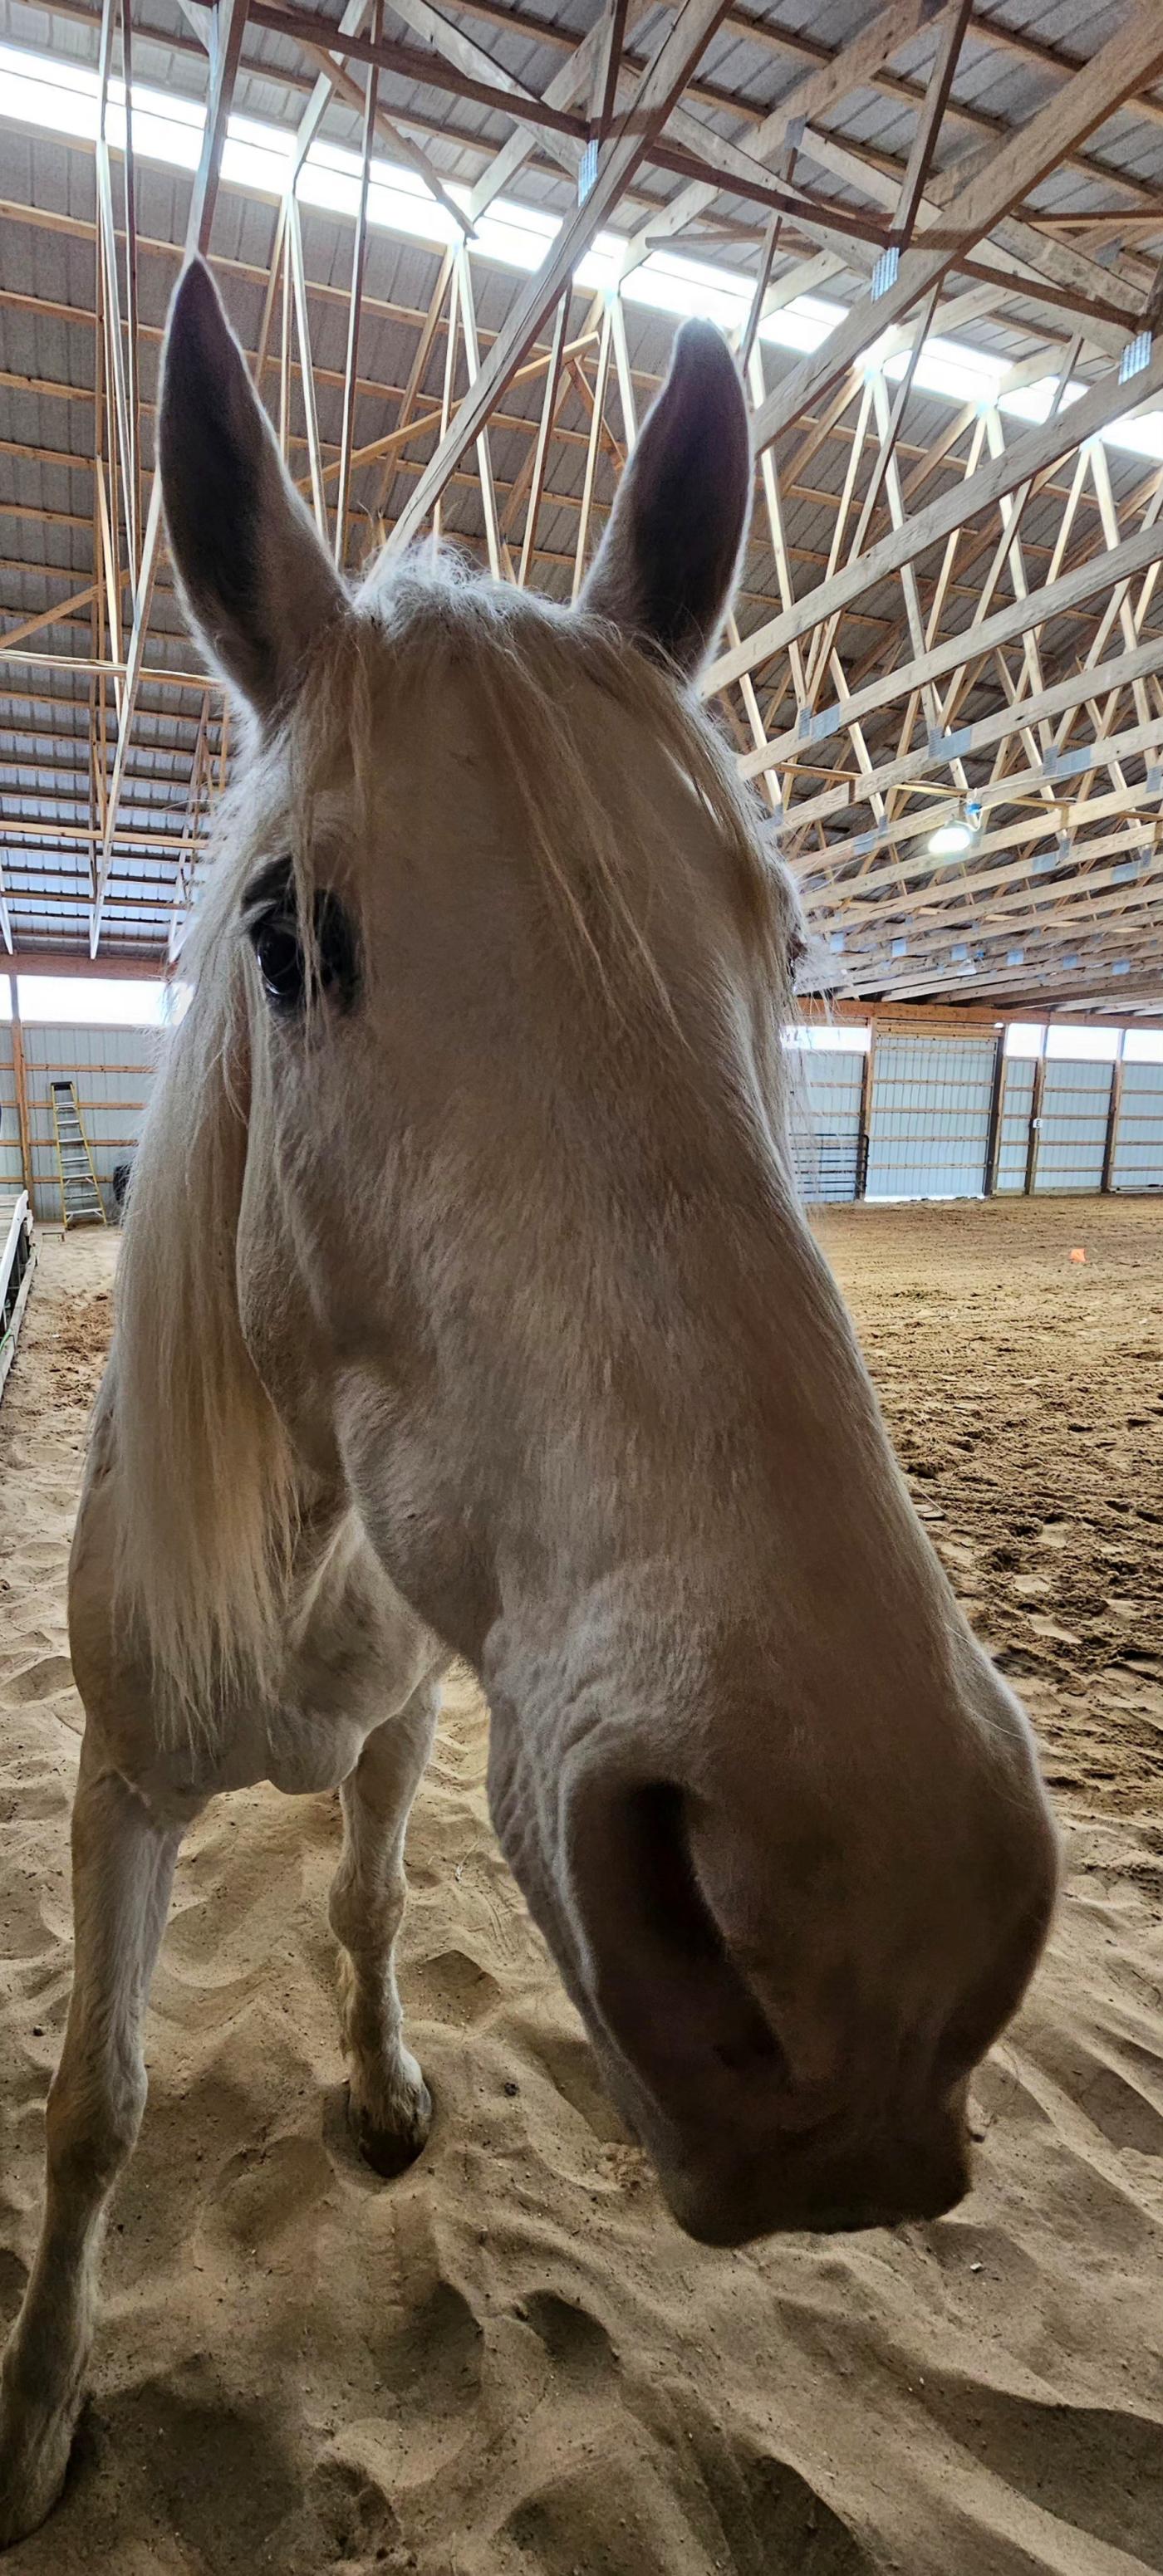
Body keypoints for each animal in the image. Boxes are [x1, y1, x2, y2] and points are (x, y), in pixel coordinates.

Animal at [0, 257, 1058, 2545]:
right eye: (284, 937)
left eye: (779, 929)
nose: (870, 1921)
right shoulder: (116, 1786)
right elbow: (97, 2098)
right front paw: (36, 2403)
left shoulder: (408, 1730)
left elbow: (371, 1903)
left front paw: (387, 2087)